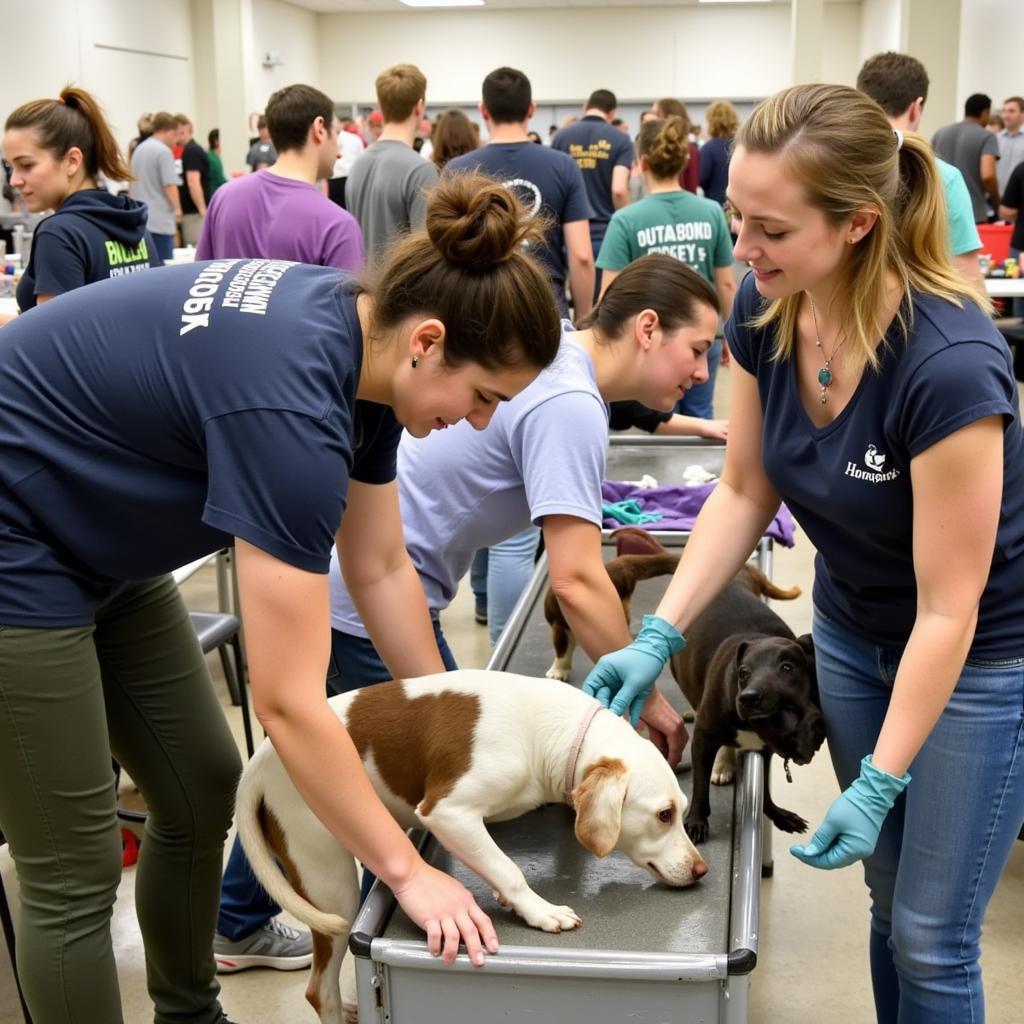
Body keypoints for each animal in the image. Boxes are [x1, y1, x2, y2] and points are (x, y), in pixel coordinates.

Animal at [235, 667, 708, 1019]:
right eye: (664, 815)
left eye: (682, 810)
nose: (702, 870)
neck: (547, 731)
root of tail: (260, 760)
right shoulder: (448, 813)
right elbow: (509, 869)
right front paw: (540, 911)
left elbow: (496, 863)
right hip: (330, 884)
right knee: (320, 990)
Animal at [671, 573, 823, 843]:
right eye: (743, 672)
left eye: (788, 667)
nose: (748, 697)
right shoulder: (702, 739)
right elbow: (700, 787)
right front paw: (696, 821)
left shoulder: (766, 750)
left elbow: (763, 790)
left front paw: (776, 813)